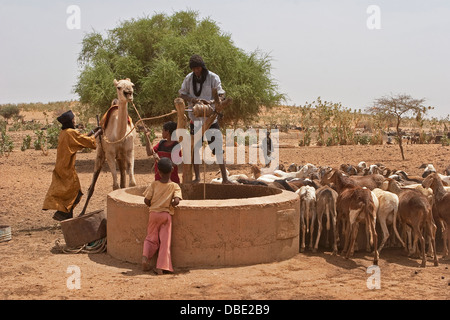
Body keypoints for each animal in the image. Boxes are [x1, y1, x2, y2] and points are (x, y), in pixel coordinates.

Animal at [79, 79, 136, 216]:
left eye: (132, 85)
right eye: (119, 87)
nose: (129, 93)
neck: (119, 135)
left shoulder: (129, 151)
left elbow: (131, 183)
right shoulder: (109, 153)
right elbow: (115, 185)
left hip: (120, 157)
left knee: (123, 179)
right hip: (101, 152)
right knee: (93, 183)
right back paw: (82, 213)